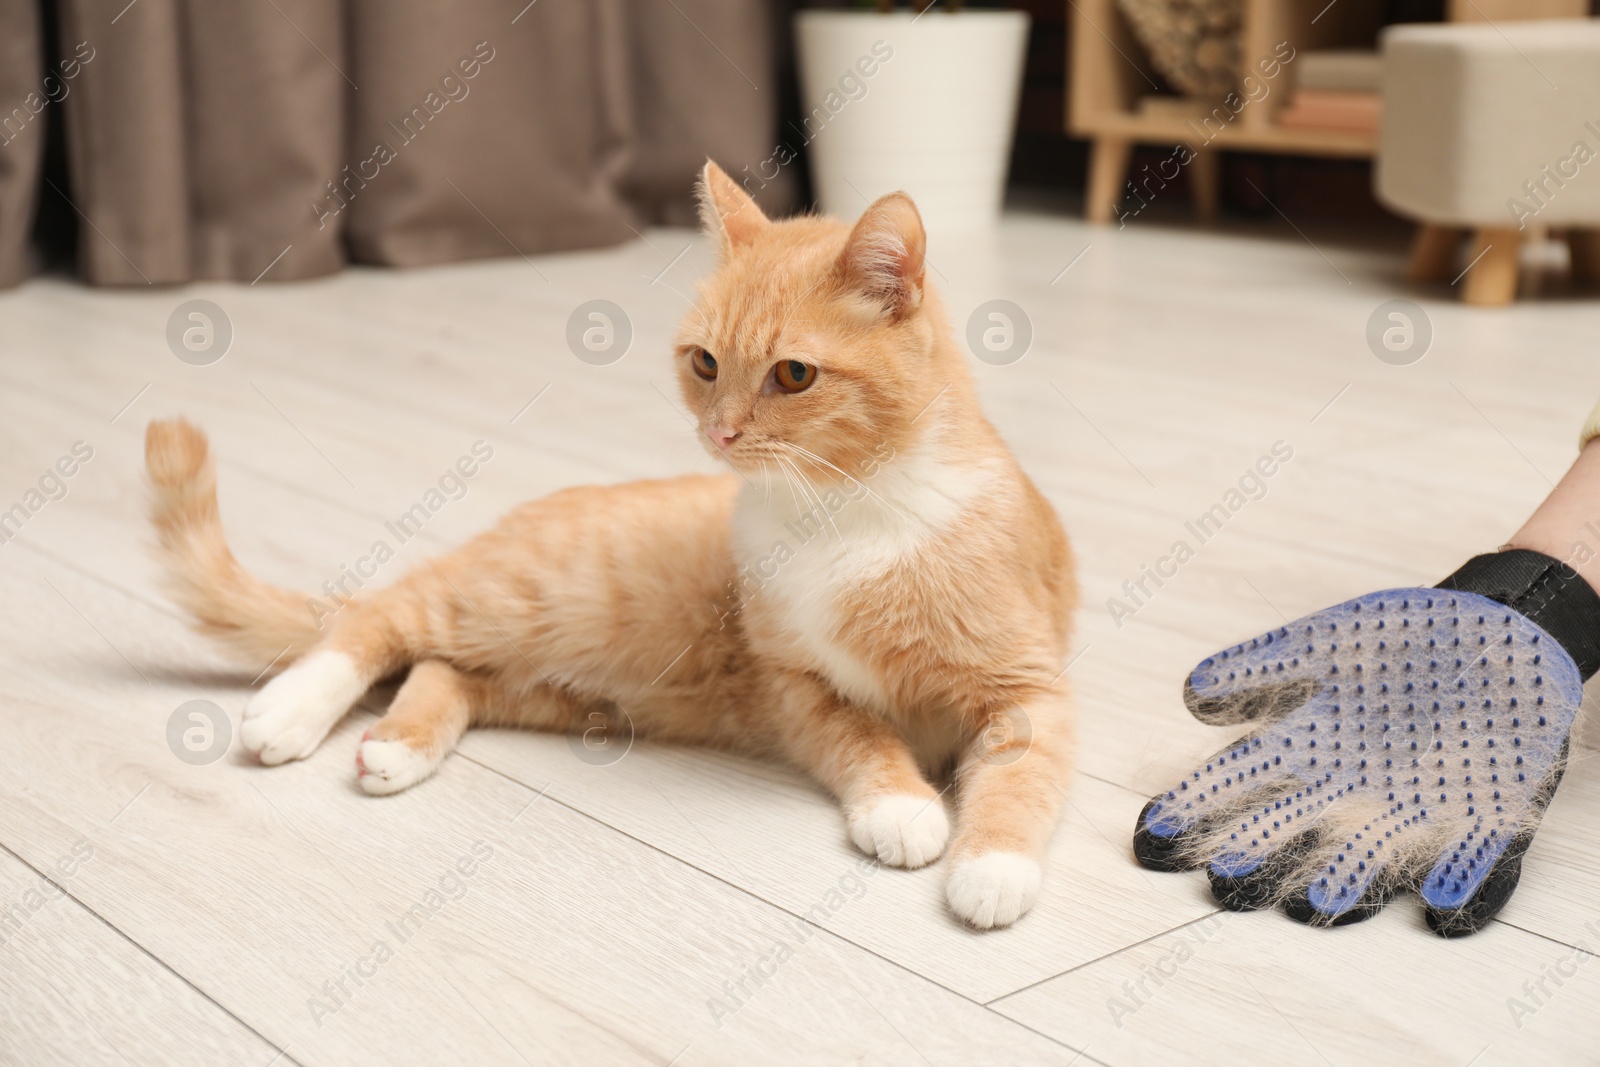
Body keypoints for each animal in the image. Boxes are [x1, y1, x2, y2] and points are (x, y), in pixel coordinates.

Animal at [147, 163, 1075, 927]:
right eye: (705, 363)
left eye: (794, 375)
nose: (720, 431)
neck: (843, 511)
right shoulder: (798, 688)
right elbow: (864, 739)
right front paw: (904, 807)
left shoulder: (1028, 684)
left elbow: (1022, 771)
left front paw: (992, 866)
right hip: (523, 601)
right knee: (379, 616)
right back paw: (291, 710)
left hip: (558, 686)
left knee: (443, 669)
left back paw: (397, 748)